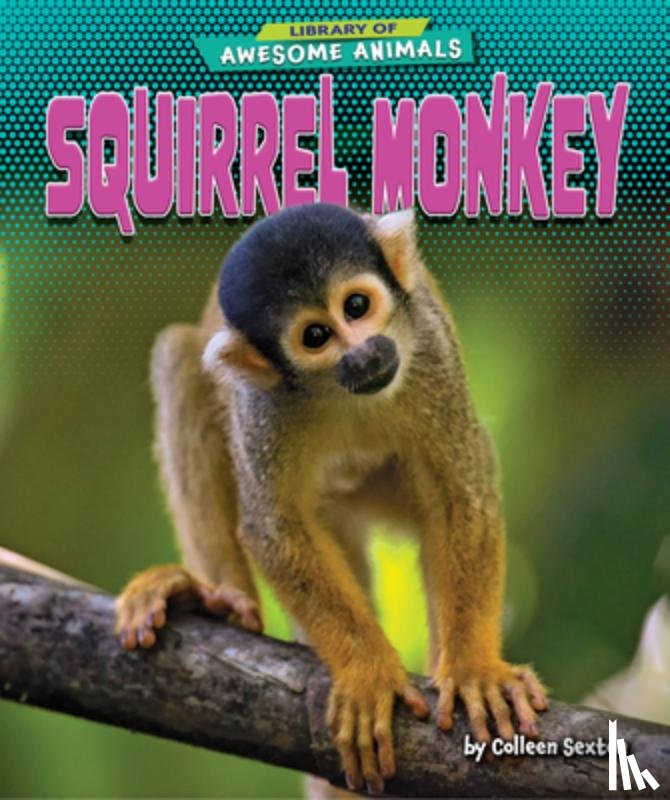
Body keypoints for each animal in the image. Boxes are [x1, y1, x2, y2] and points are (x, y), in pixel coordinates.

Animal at [116, 203, 548, 795]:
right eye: (316, 335)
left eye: (357, 306)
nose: (363, 355)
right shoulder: (262, 406)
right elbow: (274, 529)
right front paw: (367, 672)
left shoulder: (430, 351)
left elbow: (461, 496)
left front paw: (474, 670)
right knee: (178, 358)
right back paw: (218, 597)